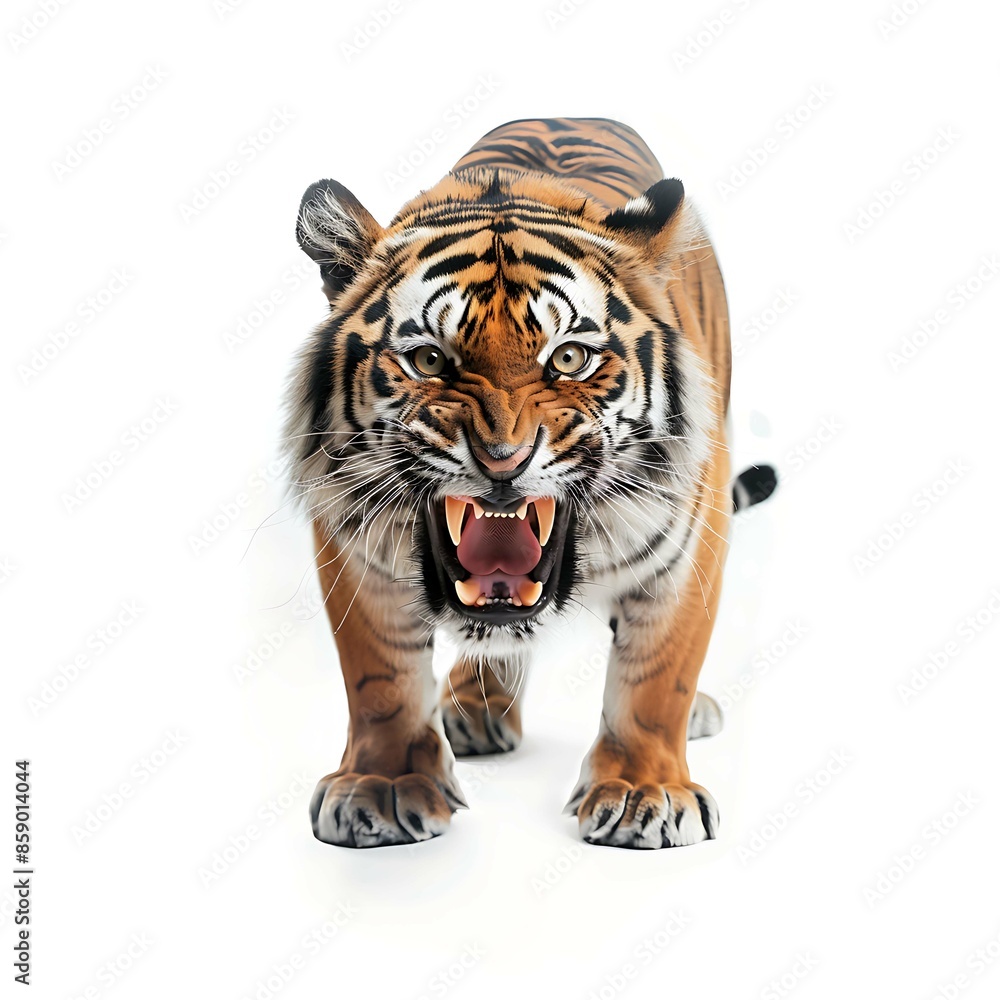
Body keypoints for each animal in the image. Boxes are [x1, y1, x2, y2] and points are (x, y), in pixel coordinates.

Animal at [284, 117, 776, 850]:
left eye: (568, 358)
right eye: (430, 359)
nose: (502, 460)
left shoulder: (692, 535)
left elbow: (658, 675)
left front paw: (644, 792)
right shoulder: (349, 534)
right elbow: (381, 677)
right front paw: (385, 785)